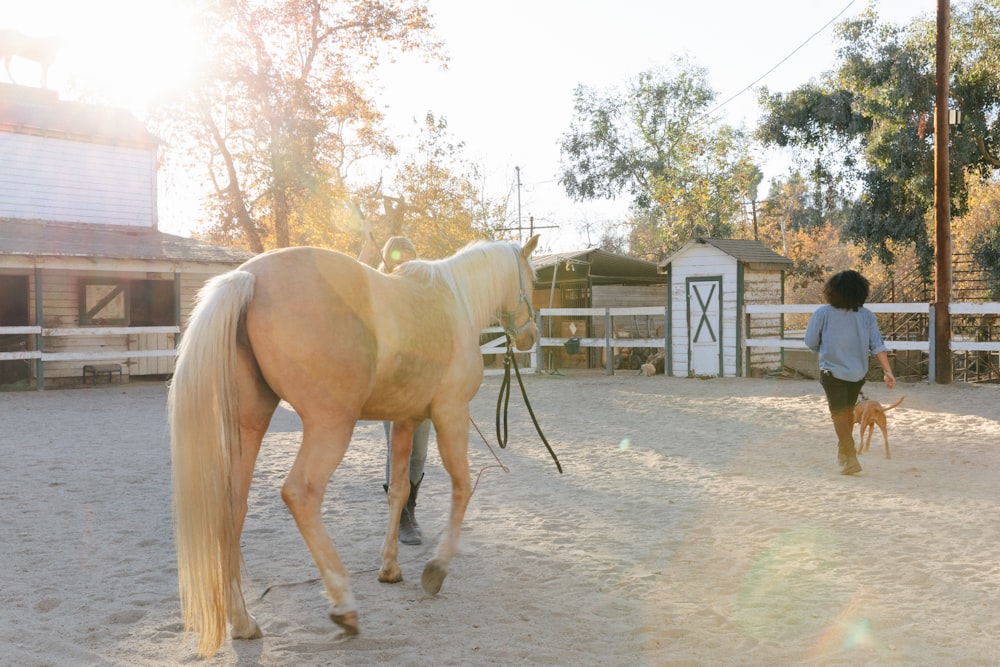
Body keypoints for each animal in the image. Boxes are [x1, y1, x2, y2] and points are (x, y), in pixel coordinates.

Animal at [170, 235, 540, 656]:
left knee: (234, 507)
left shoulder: (406, 421)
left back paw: (243, 621)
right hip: (331, 424)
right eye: (533, 279)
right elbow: (462, 486)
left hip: (250, 424)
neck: (454, 300)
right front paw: (437, 569)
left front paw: (390, 569)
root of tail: (249, 277)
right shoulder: (451, 414)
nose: (531, 336)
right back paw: (344, 604)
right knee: (300, 494)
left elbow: (399, 490)